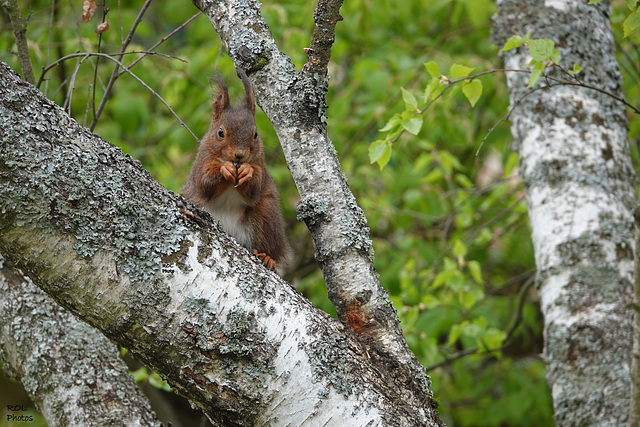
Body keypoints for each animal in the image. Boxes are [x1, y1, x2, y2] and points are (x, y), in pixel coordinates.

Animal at [180, 68, 290, 272]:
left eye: (255, 135)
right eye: (220, 132)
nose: (239, 155)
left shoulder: (260, 163)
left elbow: (255, 188)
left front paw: (247, 171)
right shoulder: (201, 161)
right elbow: (204, 182)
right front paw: (224, 169)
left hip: (267, 216)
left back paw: (268, 258)